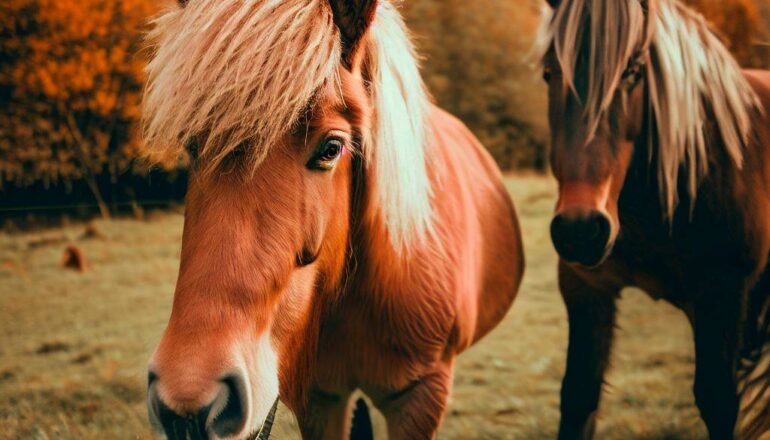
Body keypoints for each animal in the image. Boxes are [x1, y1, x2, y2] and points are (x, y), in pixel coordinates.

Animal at [540, 0, 768, 438]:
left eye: (633, 72)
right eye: (548, 73)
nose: (581, 230)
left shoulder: (725, 295)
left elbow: (718, 401)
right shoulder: (585, 288)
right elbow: (578, 396)